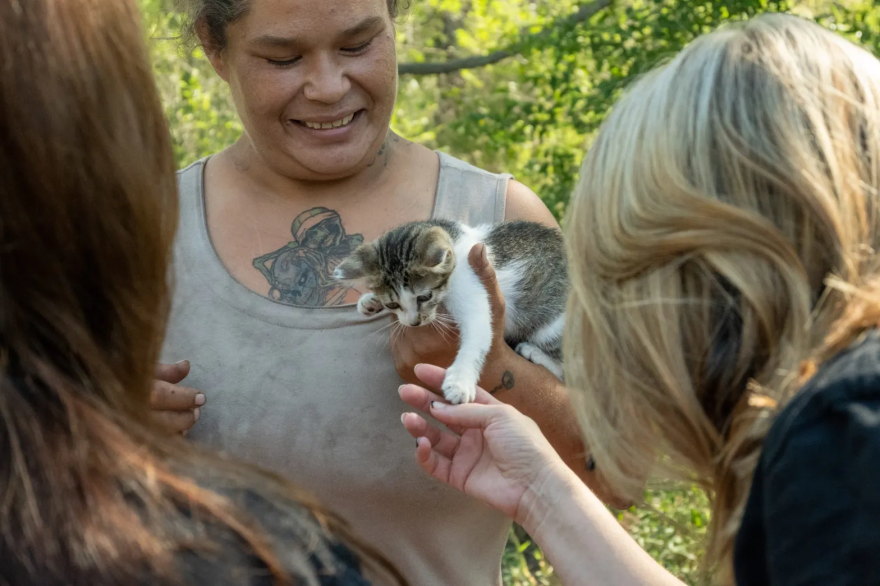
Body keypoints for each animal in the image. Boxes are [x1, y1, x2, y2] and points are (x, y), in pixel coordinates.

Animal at [334, 217, 568, 404]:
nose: (414, 322)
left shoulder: (469, 279)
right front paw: (369, 301)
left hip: (554, 325)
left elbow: (477, 332)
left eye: (424, 297)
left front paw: (460, 382)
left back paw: (534, 353)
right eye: (393, 304)